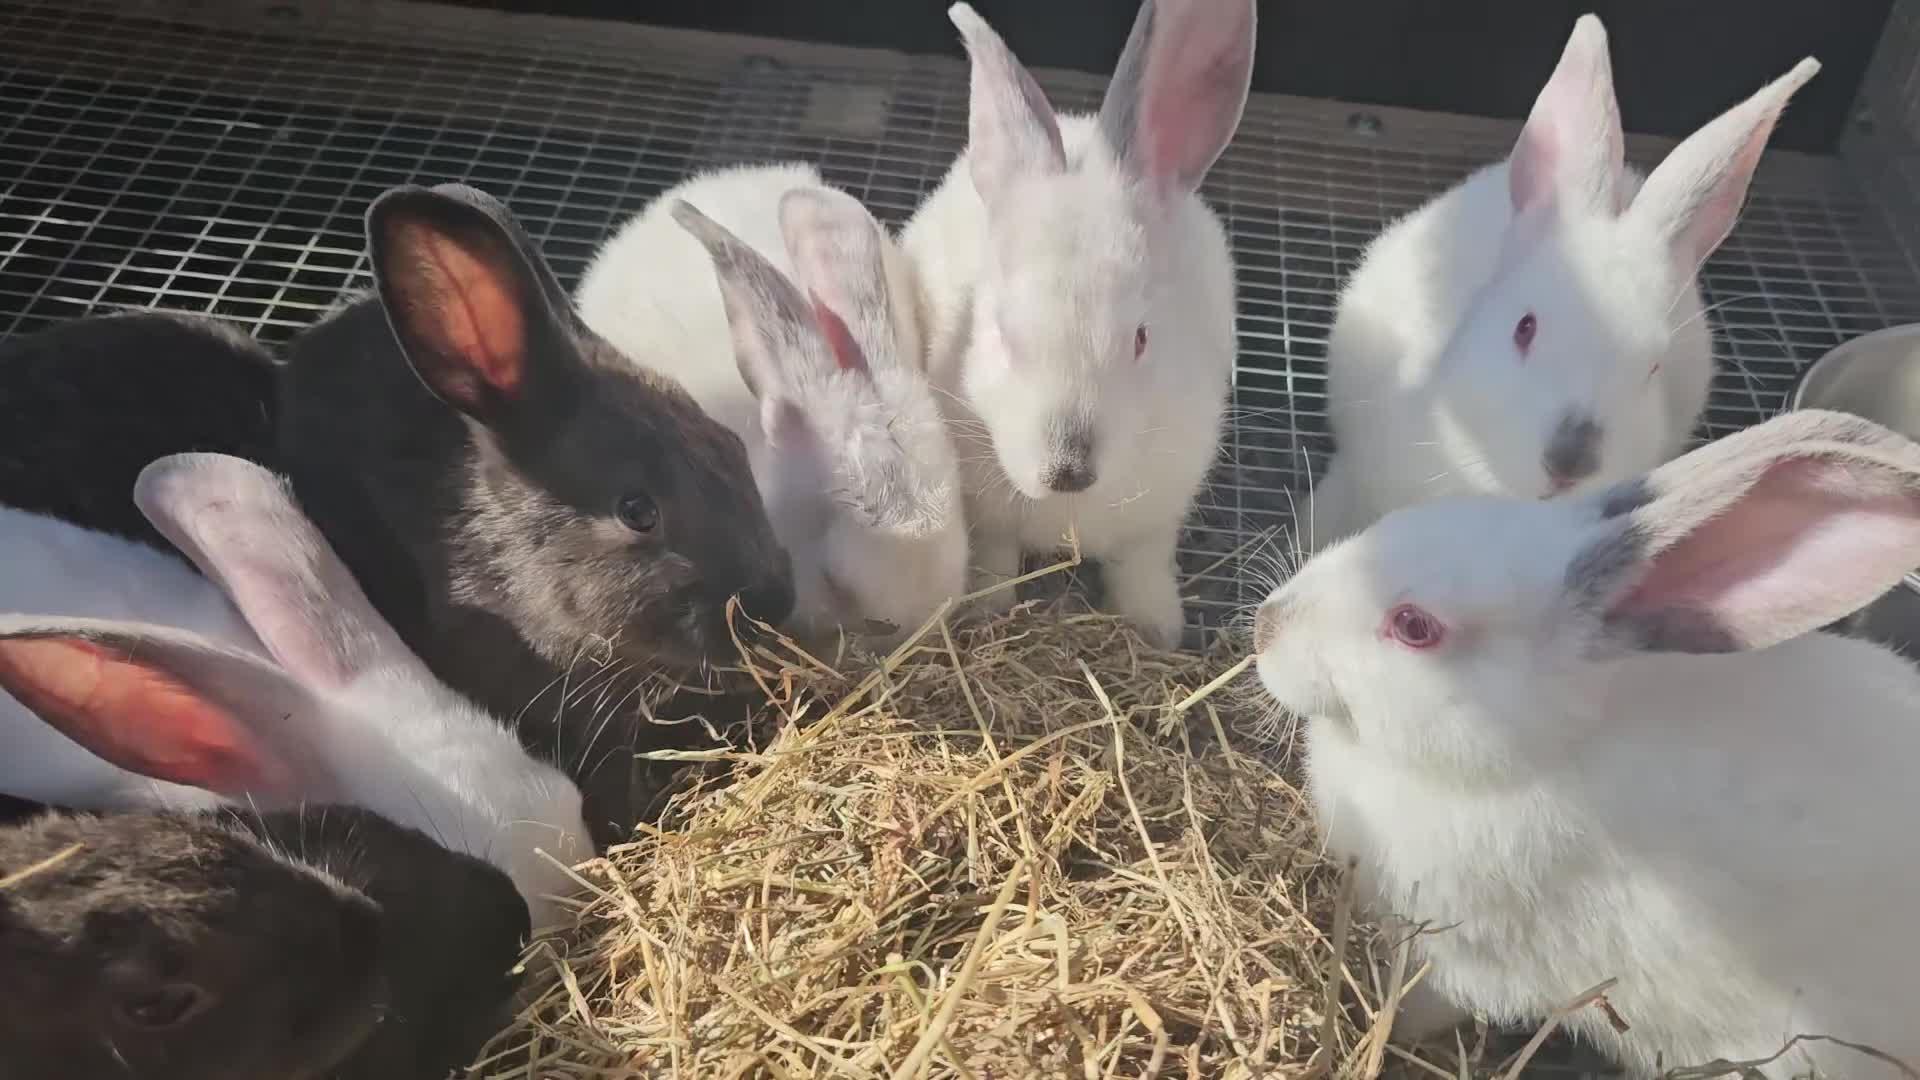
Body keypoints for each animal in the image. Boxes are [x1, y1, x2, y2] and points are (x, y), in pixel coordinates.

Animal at [899, 0, 1255, 649]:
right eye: (1001, 332)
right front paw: (985, 618)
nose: (1068, 470)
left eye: (1141, 337)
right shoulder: (987, 519)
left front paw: (1159, 633)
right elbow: (993, 565)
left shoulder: (1153, 524)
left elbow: (1141, 573)